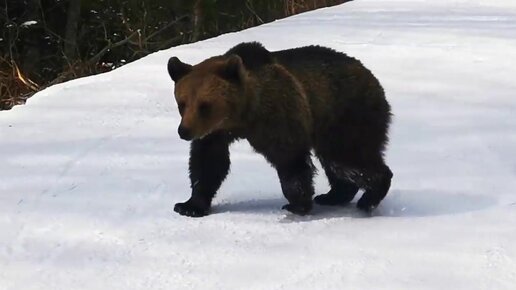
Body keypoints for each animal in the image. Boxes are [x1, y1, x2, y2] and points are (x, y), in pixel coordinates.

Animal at [168, 41, 392, 218]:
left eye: (205, 105)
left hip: (345, 114)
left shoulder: (278, 113)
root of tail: (370, 76)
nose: (184, 131)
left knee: (346, 159)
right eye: (182, 103)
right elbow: (208, 163)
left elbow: (289, 157)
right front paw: (189, 206)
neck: (243, 115)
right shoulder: (215, 133)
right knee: (337, 162)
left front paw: (296, 204)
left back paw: (369, 197)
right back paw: (332, 196)